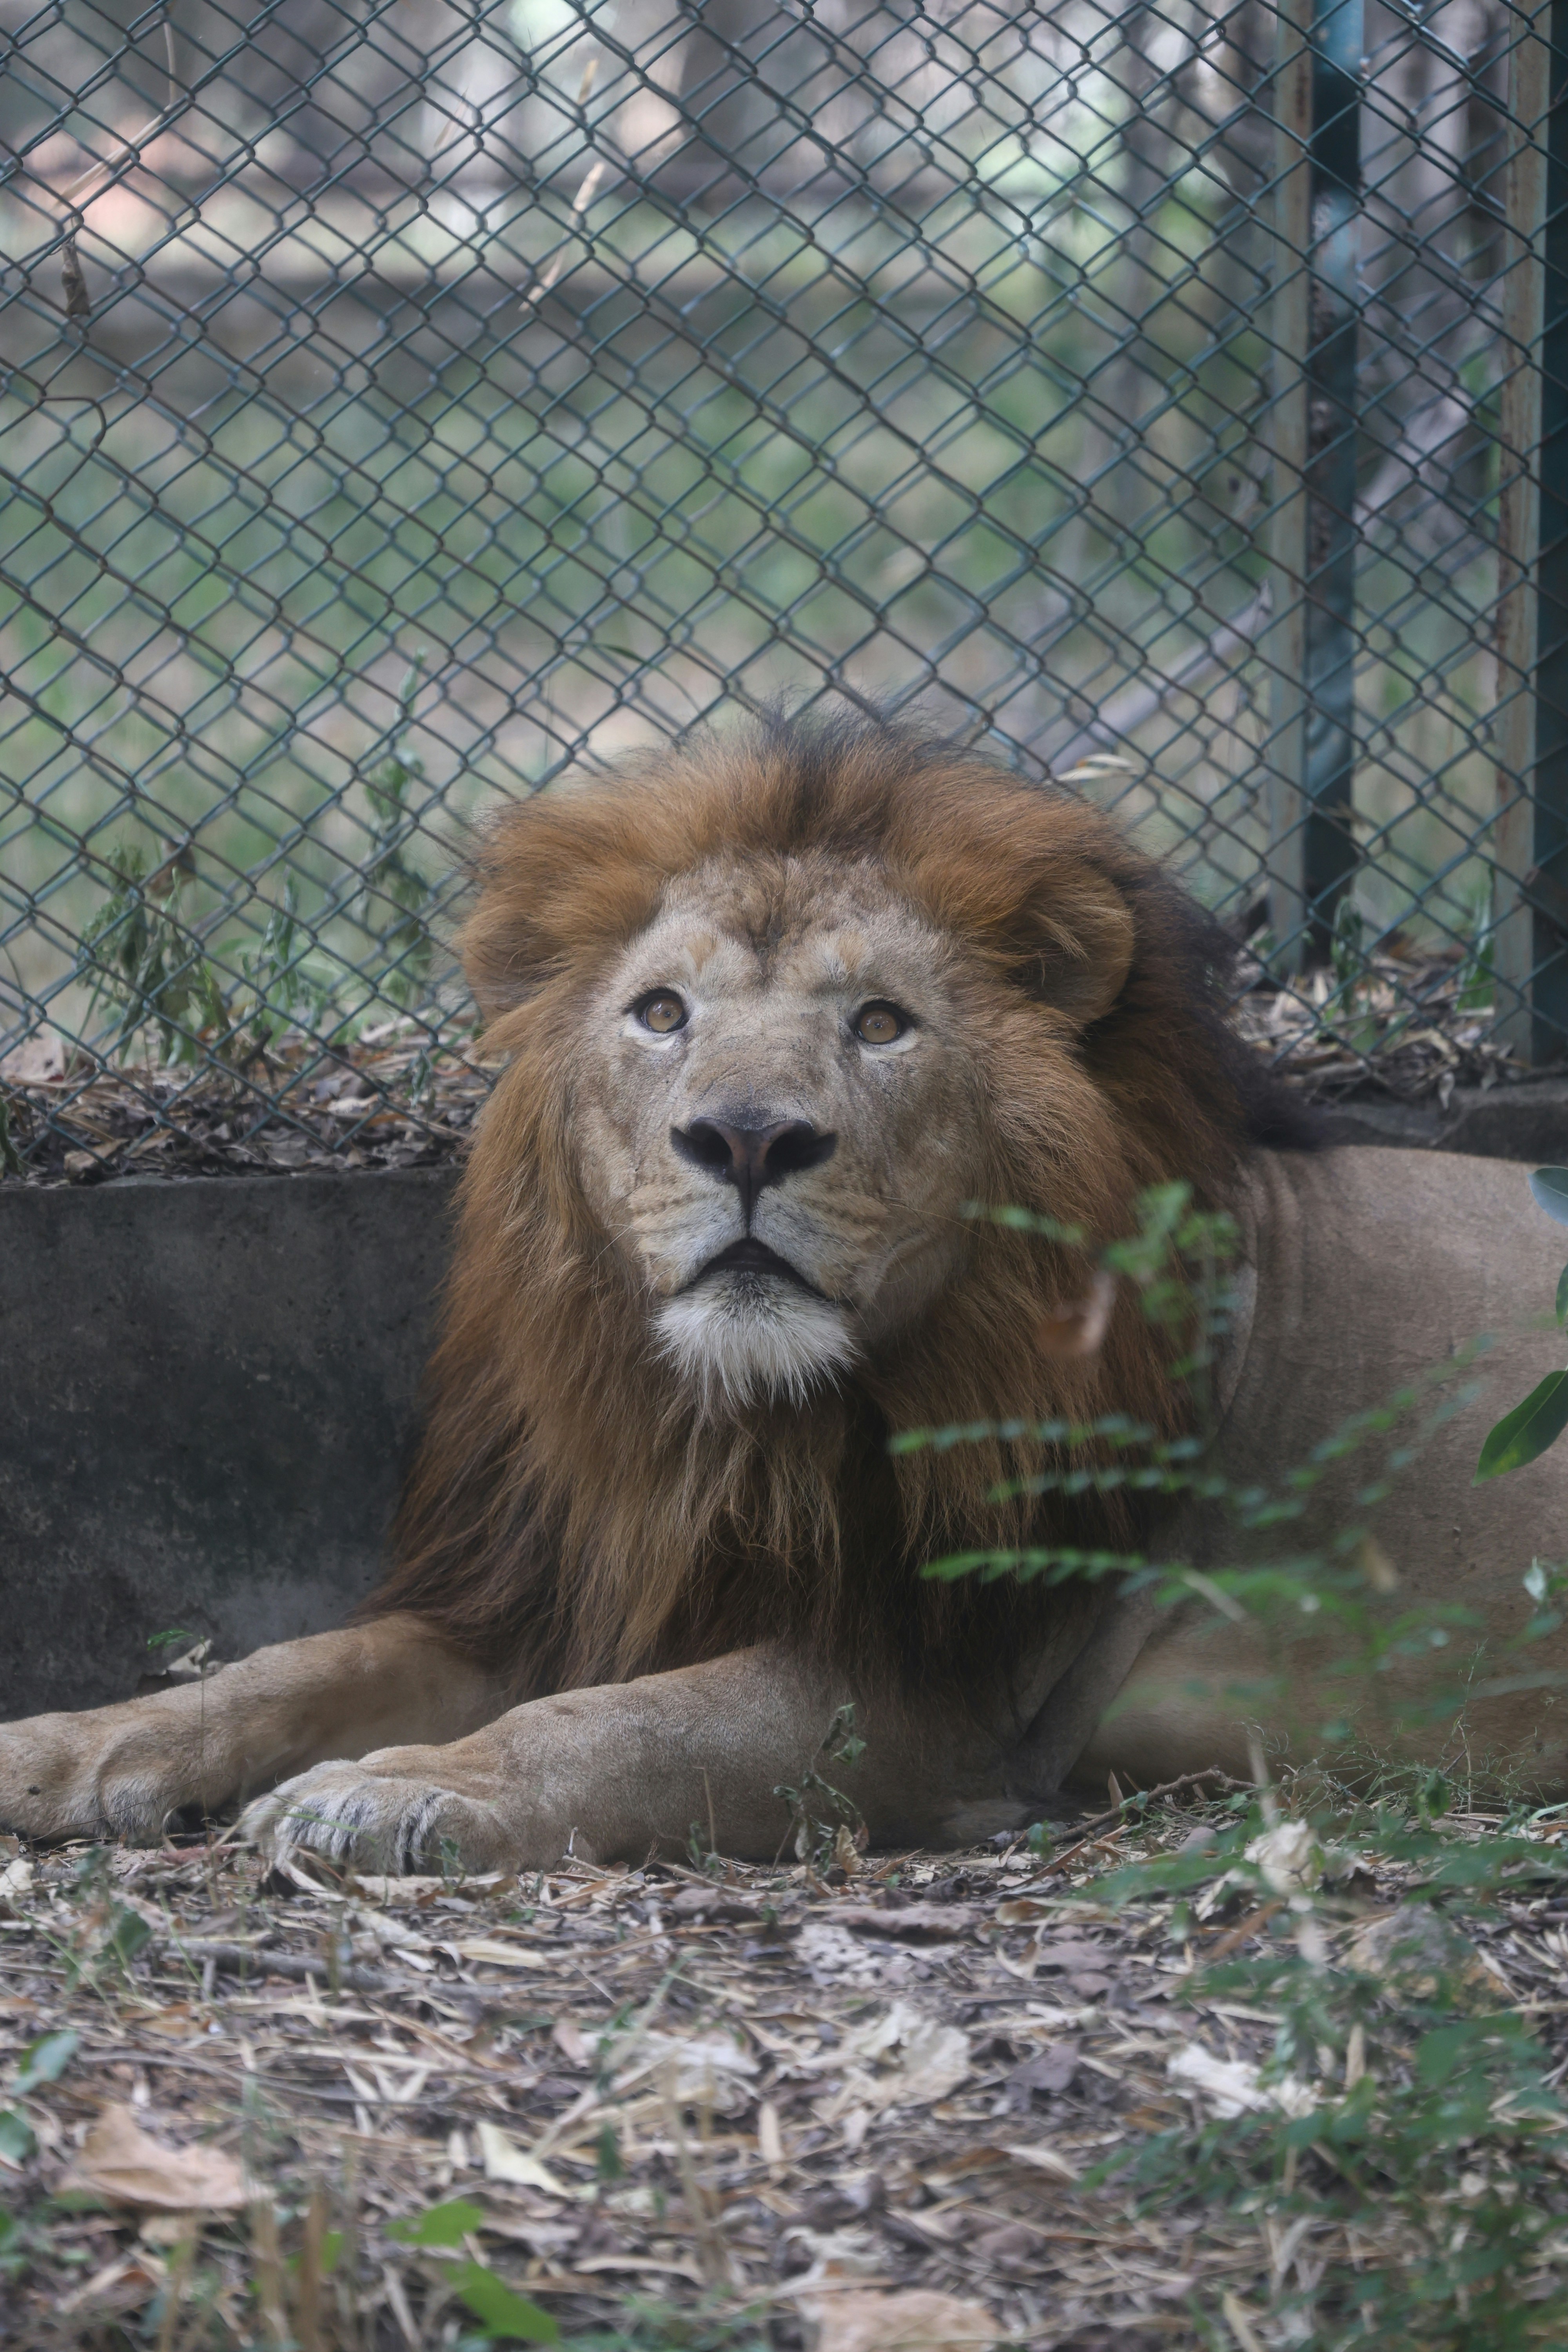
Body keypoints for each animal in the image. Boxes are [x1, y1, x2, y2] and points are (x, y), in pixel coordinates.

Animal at [4, 712, 1567, 1870]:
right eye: (660, 1013)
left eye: (878, 1024)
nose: (747, 1138)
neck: (727, 1423)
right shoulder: (557, 1576)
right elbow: (286, 1665)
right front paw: (59, 1744)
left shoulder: (937, 1688)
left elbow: (618, 1729)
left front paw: (387, 1791)